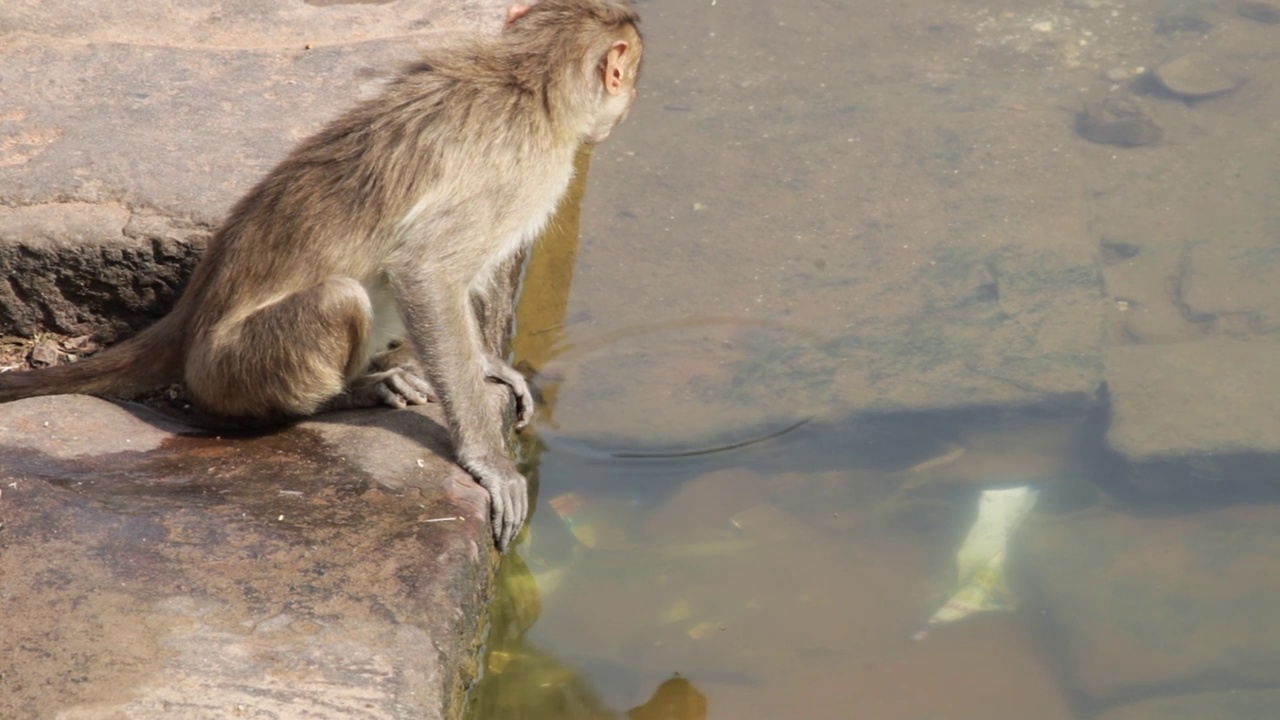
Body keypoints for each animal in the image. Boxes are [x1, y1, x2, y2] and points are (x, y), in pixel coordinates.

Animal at [0, 1, 640, 548]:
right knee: (338, 300)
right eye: (629, 76)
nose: (630, 102)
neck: (530, 82)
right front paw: (490, 461)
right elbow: (427, 273)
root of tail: (192, 312)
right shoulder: (525, 172)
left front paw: (486, 365)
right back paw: (343, 395)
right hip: (228, 370)